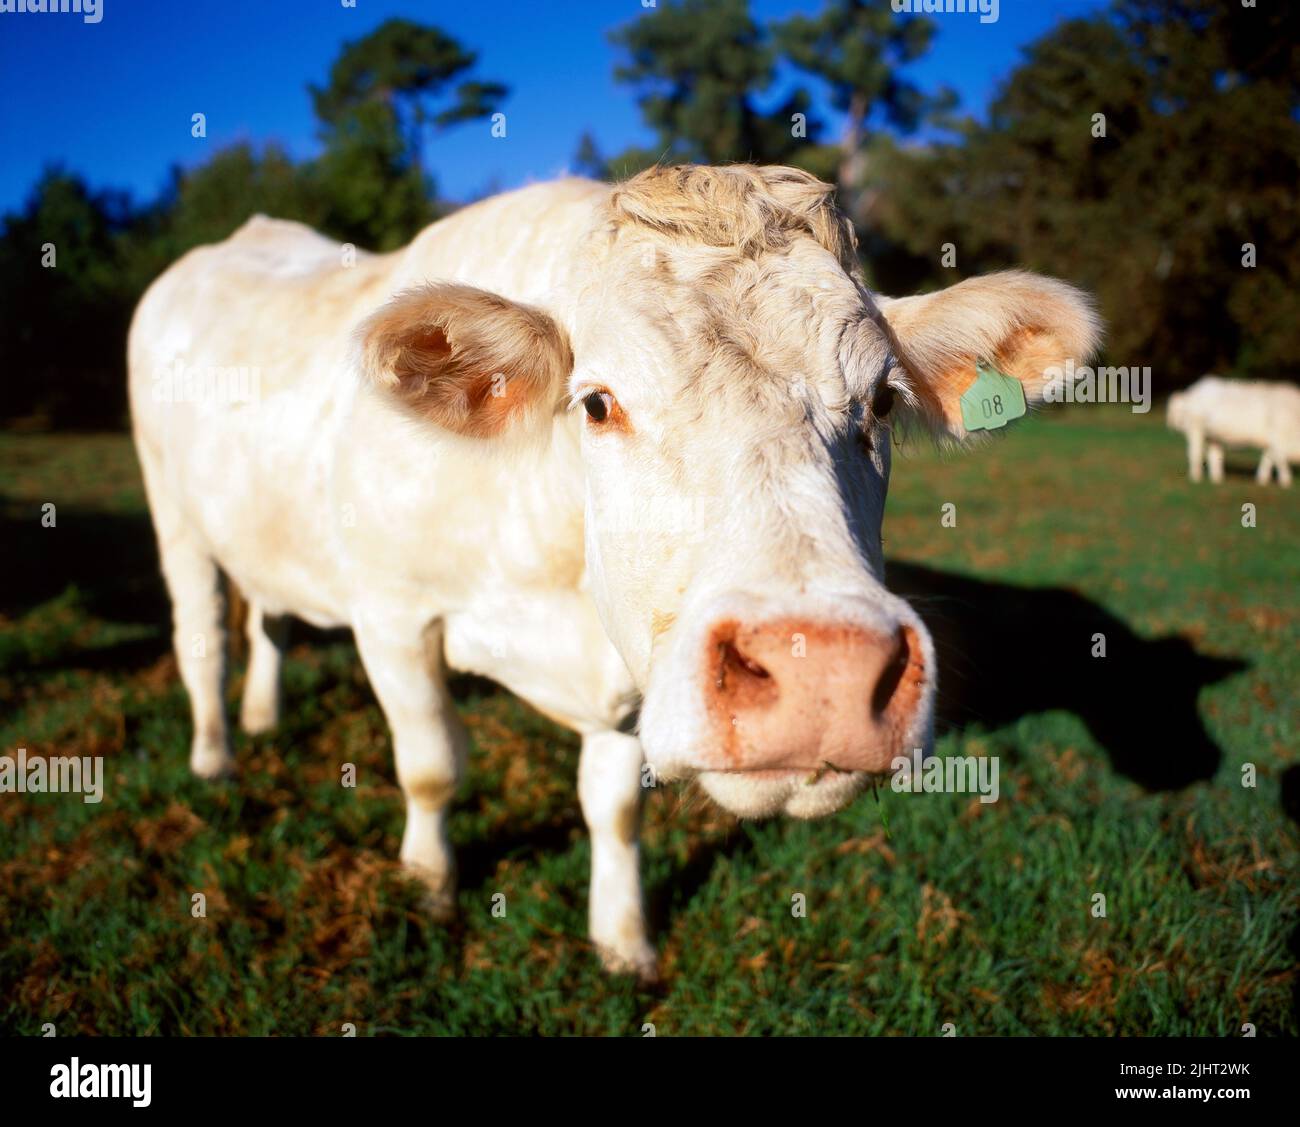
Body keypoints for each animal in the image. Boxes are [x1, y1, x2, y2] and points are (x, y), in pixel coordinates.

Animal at [129, 164, 1100, 979]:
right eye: (597, 402)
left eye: (884, 401)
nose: (821, 669)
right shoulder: (393, 615)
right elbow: (433, 764)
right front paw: (429, 884)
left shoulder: (642, 667)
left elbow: (616, 806)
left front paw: (623, 939)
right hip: (173, 513)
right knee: (203, 635)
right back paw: (215, 753)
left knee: (266, 612)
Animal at [1167, 375, 1300, 487]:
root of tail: (1192, 392)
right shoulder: (1278, 436)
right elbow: (1280, 458)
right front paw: (1286, 482)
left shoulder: (1272, 441)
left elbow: (1268, 457)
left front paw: (1261, 481)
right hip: (1195, 427)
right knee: (1195, 452)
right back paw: (1196, 478)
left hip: (1212, 434)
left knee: (1214, 455)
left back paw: (1217, 480)